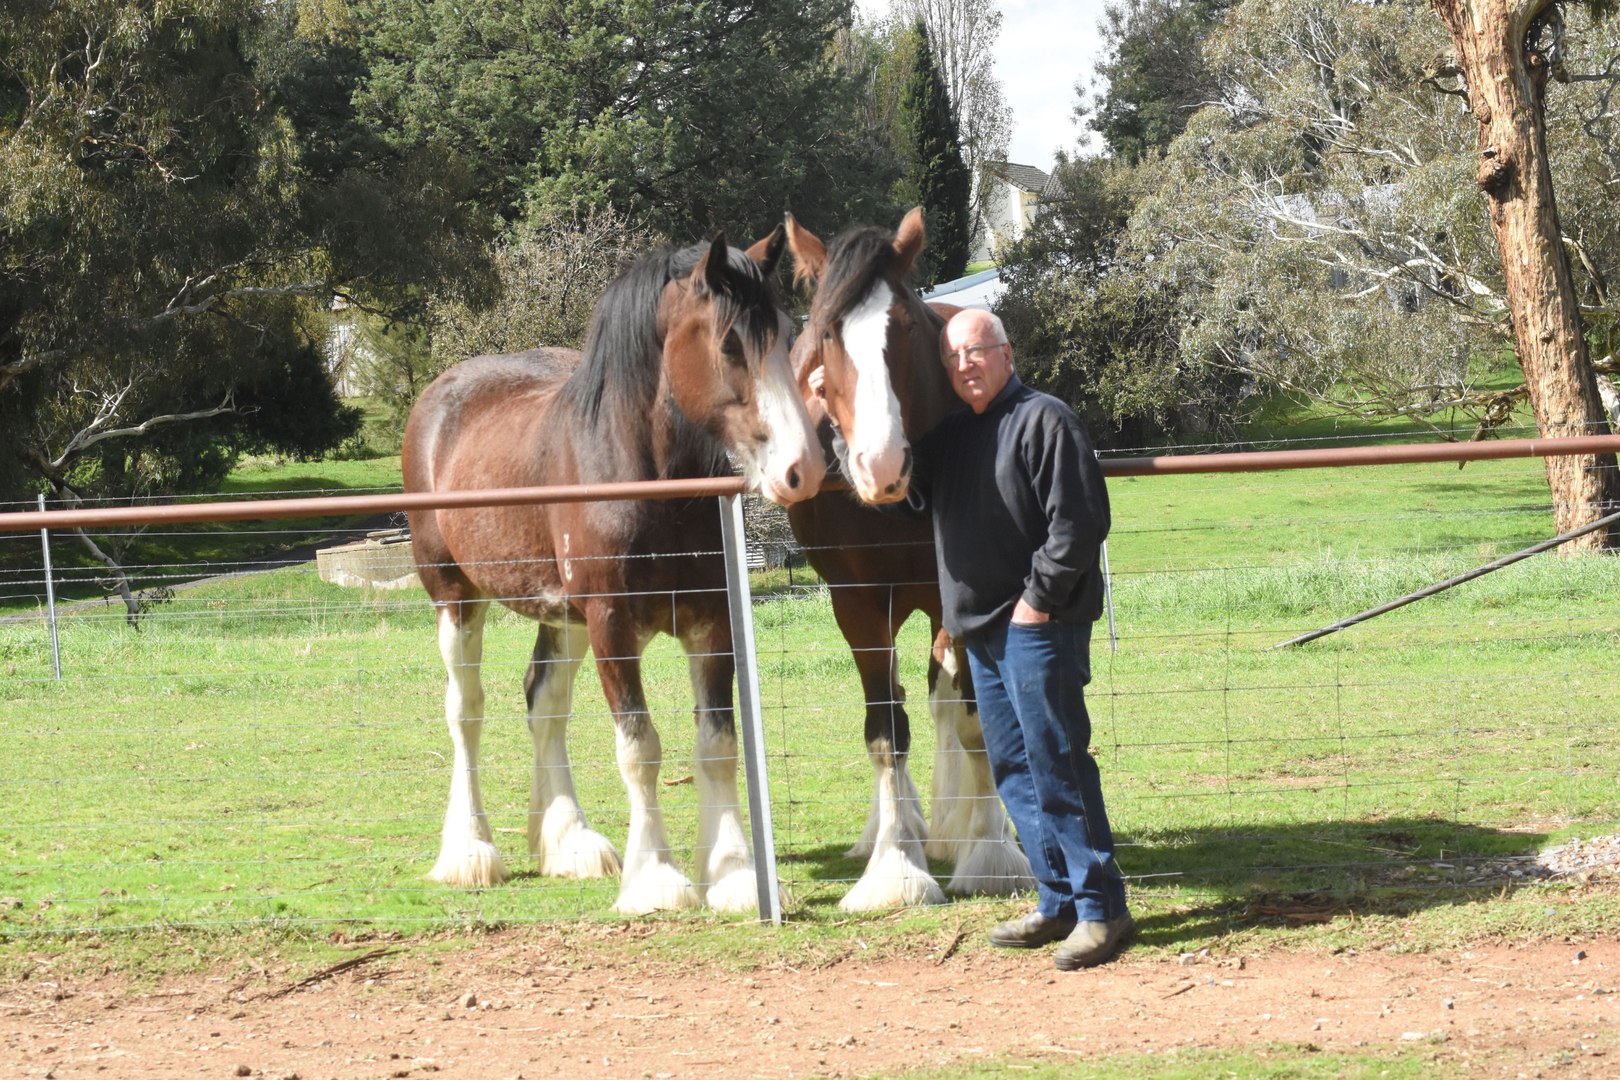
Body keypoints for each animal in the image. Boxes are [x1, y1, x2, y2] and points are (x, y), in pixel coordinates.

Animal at [405, 228, 822, 913]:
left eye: (787, 332)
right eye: (729, 341)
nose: (802, 467)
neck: (643, 476)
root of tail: (442, 395)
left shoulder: (711, 623)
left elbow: (717, 746)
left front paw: (734, 874)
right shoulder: (612, 625)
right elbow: (639, 748)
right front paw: (655, 878)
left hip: (562, 614)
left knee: (544, 700)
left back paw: (569, 841)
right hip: (456, 598)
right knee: (466, 710)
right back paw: (470, 850)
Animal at [787, 210, 1036, 913]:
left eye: (902, 326)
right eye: (825, 333)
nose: (880, 465)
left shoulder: (964, 595)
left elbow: (976, 722)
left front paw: (990, 853)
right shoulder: (857, 605)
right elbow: (884, 731)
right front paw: (895, 867)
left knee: (943, 701)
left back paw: (956, 826)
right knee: (898, 702)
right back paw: (896, 829)